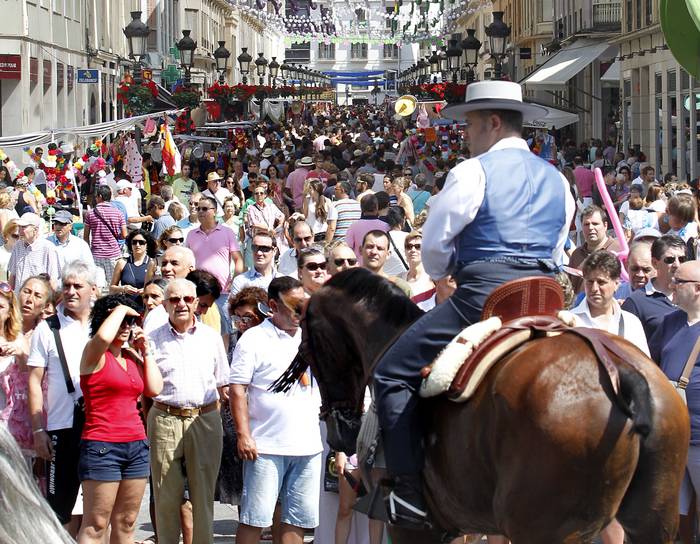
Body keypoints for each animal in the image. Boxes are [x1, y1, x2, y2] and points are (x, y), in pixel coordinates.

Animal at [272, 270, 688, 544]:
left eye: (307, 348)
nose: (339, 432)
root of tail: (618, 371)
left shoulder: (410, 528)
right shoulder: (456, 523)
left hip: (544, 529)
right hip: (653, 522)